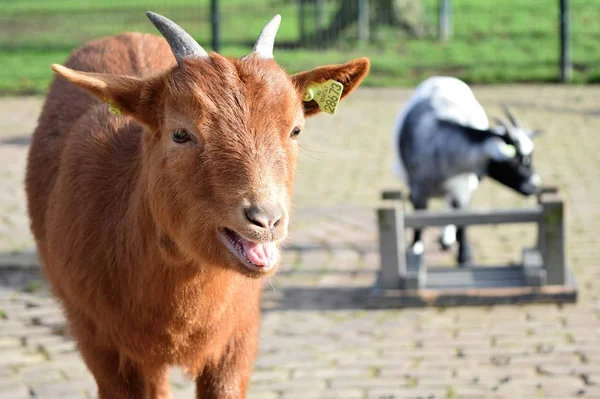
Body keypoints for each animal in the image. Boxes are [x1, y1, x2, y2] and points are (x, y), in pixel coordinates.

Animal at [25, 10, 368, 399]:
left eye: (295, 130)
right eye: (180, 133)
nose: (266, 220)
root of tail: (123, 35)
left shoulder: (240, 333)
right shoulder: (99, 341)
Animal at [394, 77, 544, 266]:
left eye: (530, 157)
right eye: (513, 161)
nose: (535, 186)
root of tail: (444, 78)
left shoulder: (462, 188)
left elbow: (461, 220)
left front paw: (464, 256)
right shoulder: (418, 190)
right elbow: (418, 220)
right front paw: (415, 248)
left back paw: (447, 238)